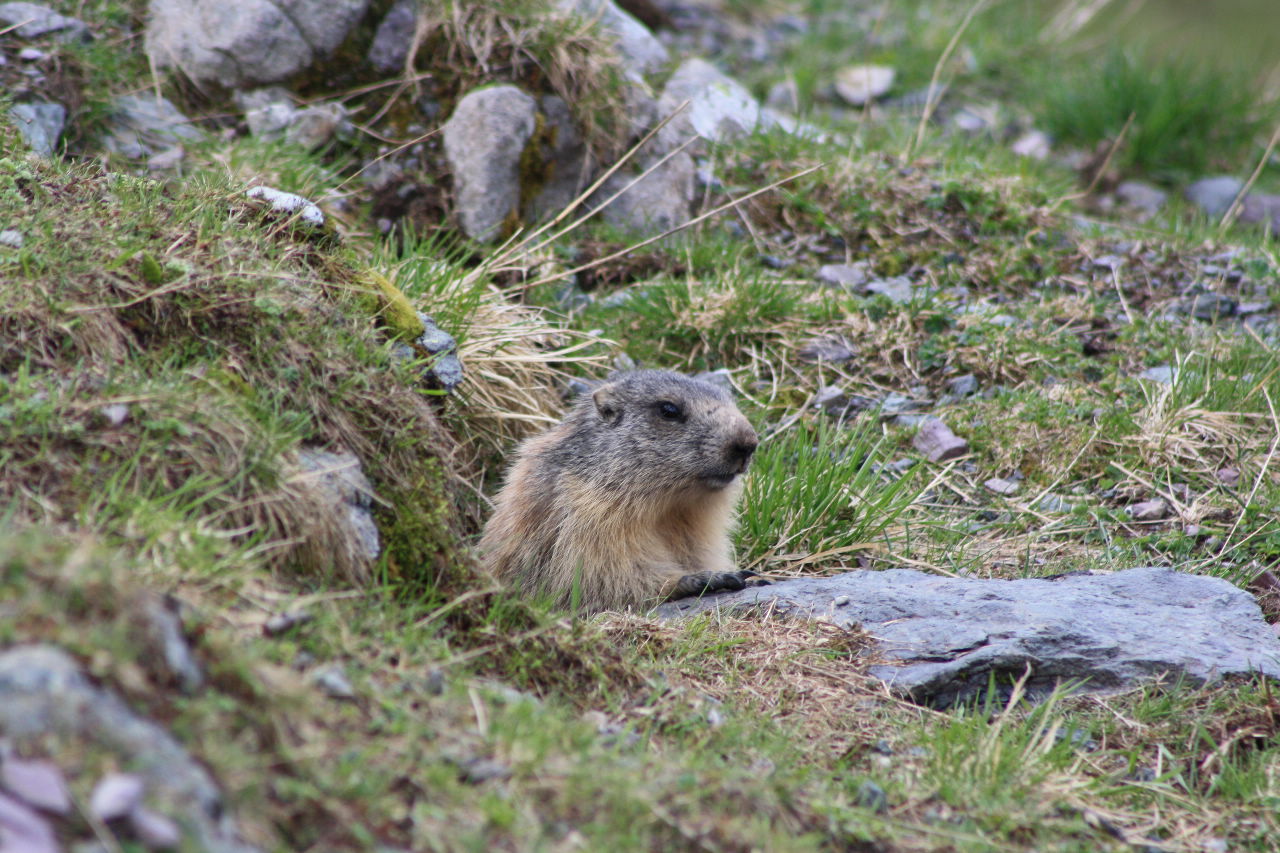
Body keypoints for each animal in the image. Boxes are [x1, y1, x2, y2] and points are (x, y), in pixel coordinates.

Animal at [479, 370, 760, 611]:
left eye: (730, 399)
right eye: (668, 410)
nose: (747, 443)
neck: (673, 506)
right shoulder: (585, 516)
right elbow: (602, 573)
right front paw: (707, 578)